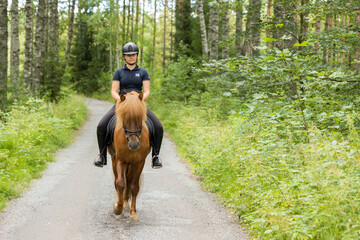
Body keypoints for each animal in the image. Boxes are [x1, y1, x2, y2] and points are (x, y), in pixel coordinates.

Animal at [108, 91, 150, 224]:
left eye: (139, 118)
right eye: (125, 119)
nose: (134, 144)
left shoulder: (139, 162)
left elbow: (134, 187)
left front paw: (133, 214)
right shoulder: (120, 160)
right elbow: (120, 183)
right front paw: (118, 208)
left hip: (132, 165)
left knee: (130, 180)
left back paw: (126, 204)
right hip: (114, 161)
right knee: (117, 181)